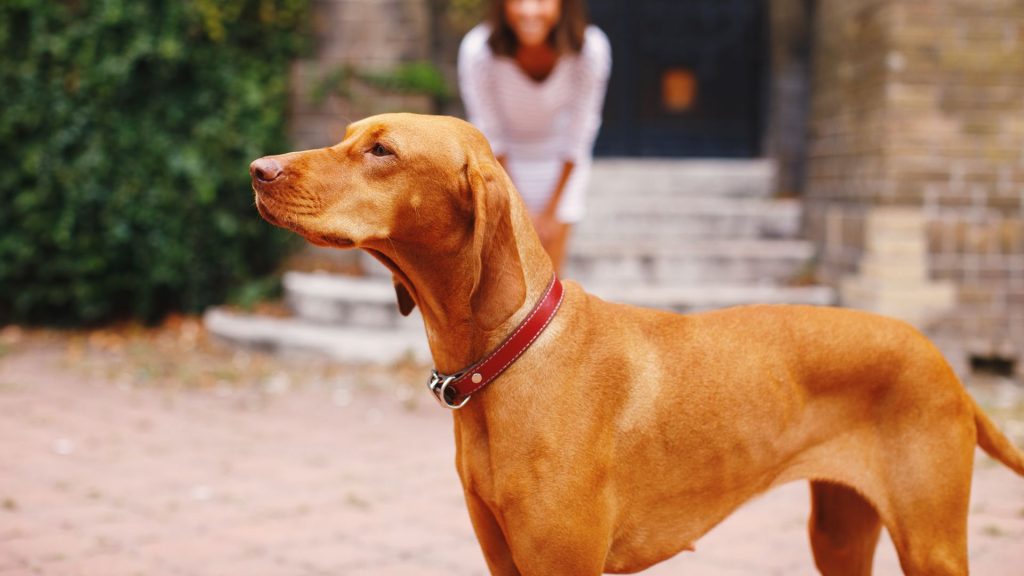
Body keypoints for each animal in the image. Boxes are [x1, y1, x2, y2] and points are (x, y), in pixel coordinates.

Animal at [249, 113, 1024, 573]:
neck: (509, 358)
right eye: (349, 134)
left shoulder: (564, 564)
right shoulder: (502, 557)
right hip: (838, 530)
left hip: (930, 542)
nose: (258, 168)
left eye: (381, 150)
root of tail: (945, 366)